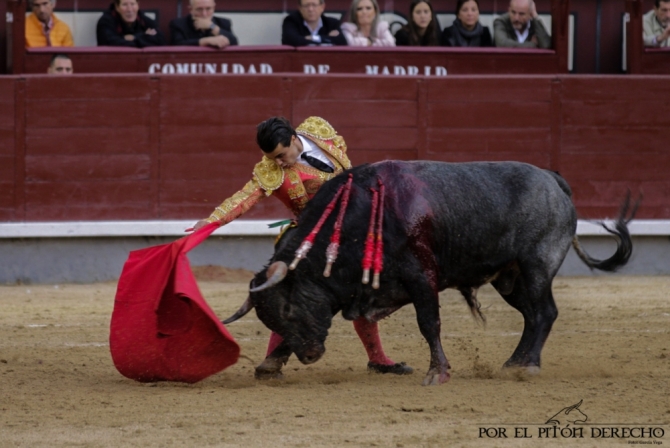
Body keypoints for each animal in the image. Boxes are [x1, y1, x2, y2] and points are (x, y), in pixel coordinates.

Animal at [224, 161, 636, 384]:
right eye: (271, 317)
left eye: (288, 308)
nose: (310, 355)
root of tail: (554, 180)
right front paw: (271, 364)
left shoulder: (422, 278)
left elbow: (429, 324)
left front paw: (437, 372)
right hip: (510, 278)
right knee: (534, 316)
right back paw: (514, 363)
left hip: (536, 265)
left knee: (545, 312)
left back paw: (529, 365)